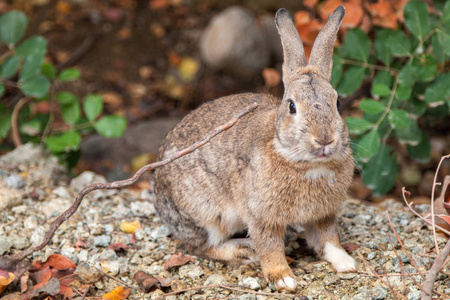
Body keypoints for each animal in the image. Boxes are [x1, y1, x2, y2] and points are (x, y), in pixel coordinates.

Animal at [155, 5, 356, 290]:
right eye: (292, 106)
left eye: (337, 103)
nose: (325, 139)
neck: (304, 162)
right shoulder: (262, 215)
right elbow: (269, 246)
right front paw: (284, 278)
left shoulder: (323, 215)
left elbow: (328, 239)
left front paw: (346, 263)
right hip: (205, 214)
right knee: (198, 247)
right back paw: (242, 250)